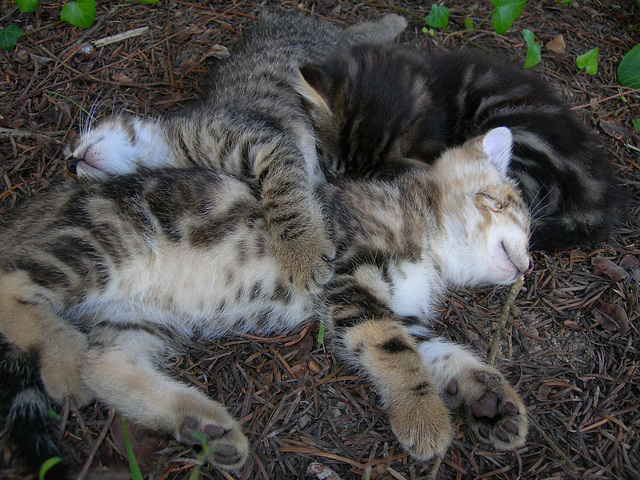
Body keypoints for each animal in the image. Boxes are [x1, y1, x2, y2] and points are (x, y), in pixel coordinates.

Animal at [0, 128, 528, 476]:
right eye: (508, 206)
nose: (526, 265)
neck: (427, 238)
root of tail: (28, 211)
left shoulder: (400, 310)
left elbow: (436, 352)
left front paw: (490, 397)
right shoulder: (349, 277)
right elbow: (392, 350)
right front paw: (424, 417)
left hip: (141, 314)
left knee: (107, 362)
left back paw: (203, 424)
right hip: (98, 244)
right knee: (11, 283)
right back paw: (62, 358)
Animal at [63, 13, 404, 294]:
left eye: (72, 141)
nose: (69, 163)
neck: (169, 147)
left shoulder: (263, 140)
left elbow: (284, 198)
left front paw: (300, 252)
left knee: (355, 35)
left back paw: (391, 22)